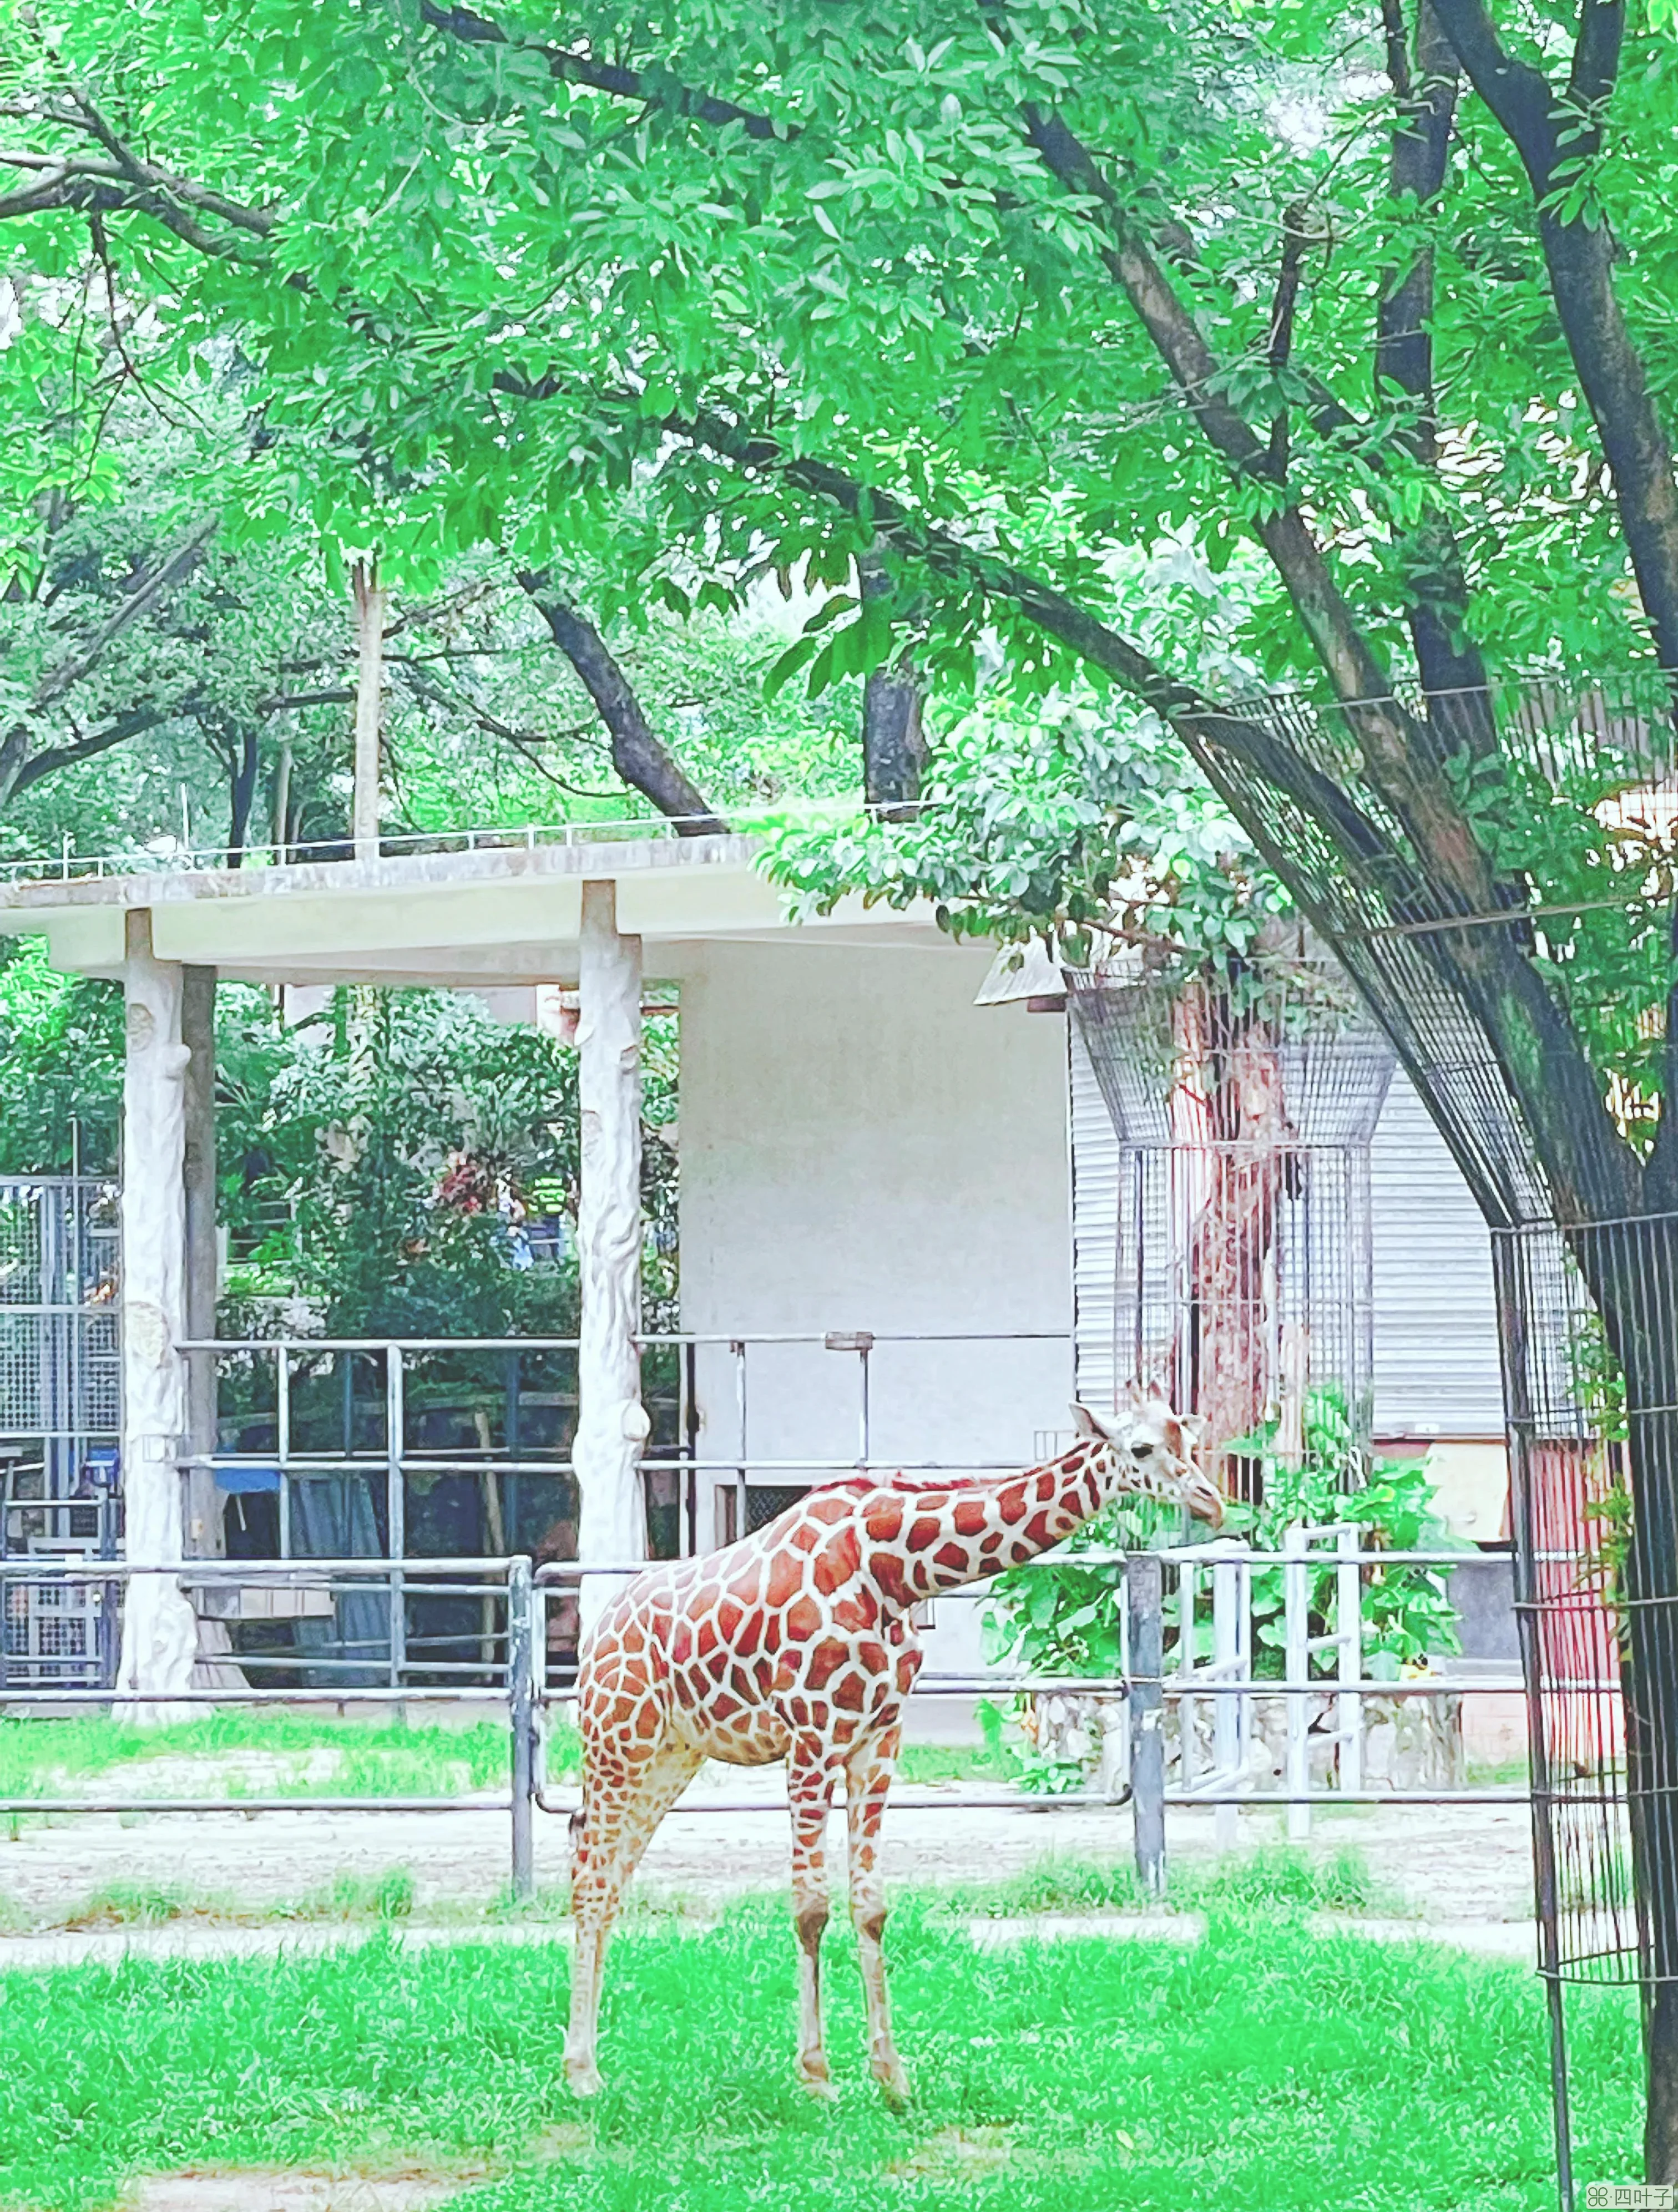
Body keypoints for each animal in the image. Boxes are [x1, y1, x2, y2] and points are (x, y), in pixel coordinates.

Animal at [564, 1389, 1222, 2097]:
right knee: (591, 1880)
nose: (1212, 1501)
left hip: (668, 1757)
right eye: (1141, 1448)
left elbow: (872, 1906)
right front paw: (816, 2075)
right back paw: (581, 2073)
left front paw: (891, 2078)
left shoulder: (878, 1739)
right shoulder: (811, 1737)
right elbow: (810, 1907)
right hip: (616, 1739)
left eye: (1190, 1439)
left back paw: (589, 2059)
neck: (894, 1569)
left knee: (609, 1877)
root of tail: (597, 1635)